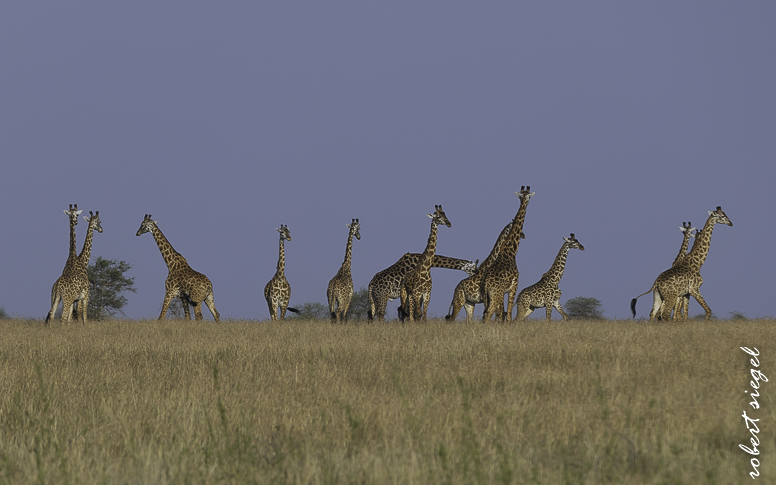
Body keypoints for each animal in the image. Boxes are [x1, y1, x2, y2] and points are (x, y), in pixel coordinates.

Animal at [480, 186, 535, 322]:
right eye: (527, 197)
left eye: (524, 196)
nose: (526, 202)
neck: (511, 250)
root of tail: (485, 284)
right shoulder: (514, 286)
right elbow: (508, 315)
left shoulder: (504, 291)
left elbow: (502, 315)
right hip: (495, 295)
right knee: (488, 314)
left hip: (486, 297)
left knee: (485, 314)